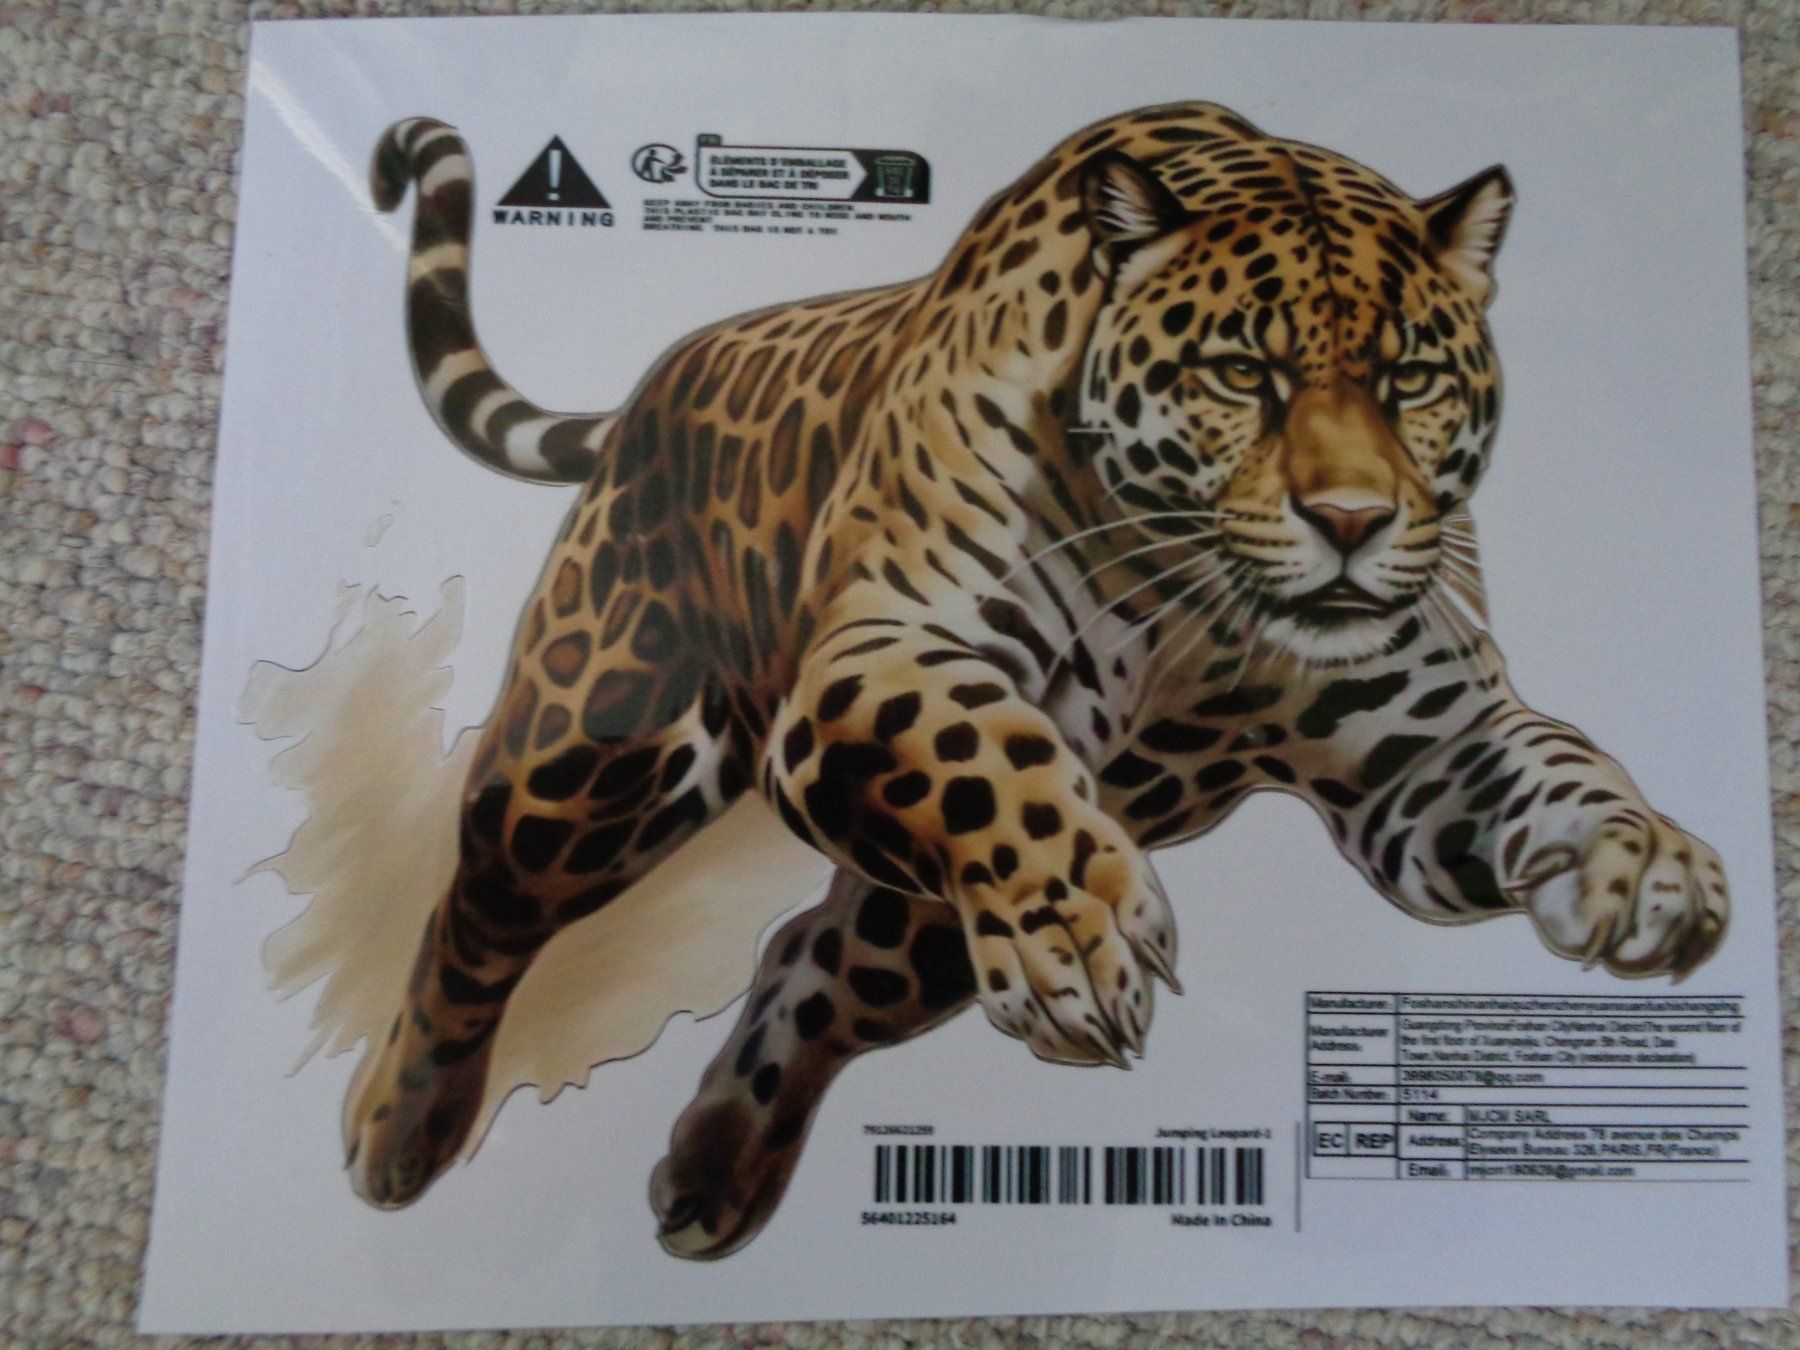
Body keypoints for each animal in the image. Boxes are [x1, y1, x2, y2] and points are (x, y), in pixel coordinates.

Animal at [346, 102, 1729, 1259]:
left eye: (1413, 381)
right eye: (1244, 374)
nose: (1352, 520)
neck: (1192, 598)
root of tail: (668, 372)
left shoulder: (1419, 762)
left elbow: (1561, 762)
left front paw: (1648, 864)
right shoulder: (883, 652)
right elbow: (983, 750)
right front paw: (1079, 914)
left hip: (916, 932)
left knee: (808, 960)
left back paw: (713, 1178)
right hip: (589, 763)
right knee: (476, 915)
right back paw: (394, 1137)